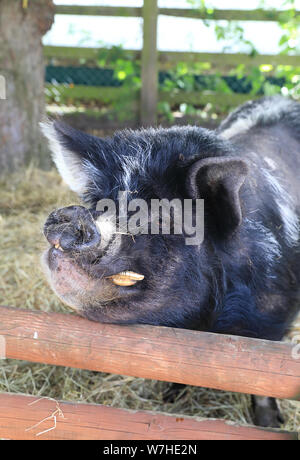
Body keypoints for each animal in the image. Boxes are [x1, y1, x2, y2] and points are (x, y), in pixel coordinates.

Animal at [41, 96, 300, 428]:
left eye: (164, 218)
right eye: (100, 205)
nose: (73, 217)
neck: (209, 324)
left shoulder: (273, 317)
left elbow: (264, 377)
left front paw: (269, 424)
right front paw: (169, 397)